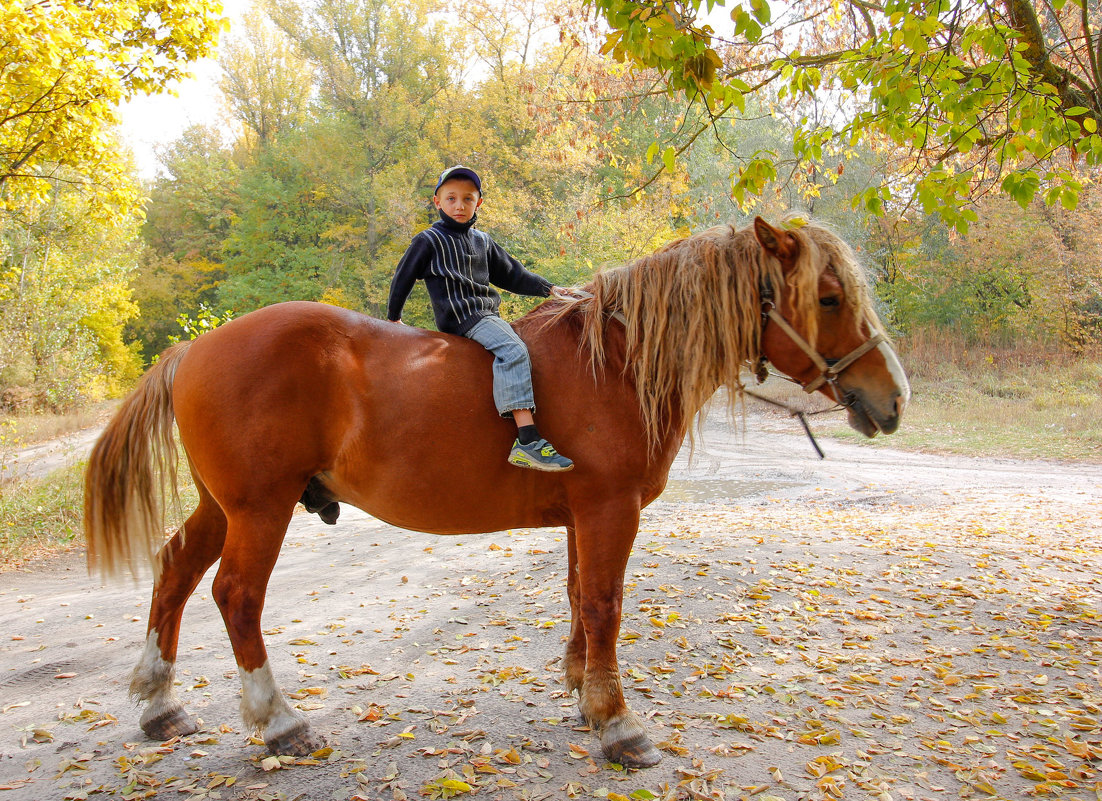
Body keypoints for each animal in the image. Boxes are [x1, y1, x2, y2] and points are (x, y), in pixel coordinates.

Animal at [83, 215, 912, 766]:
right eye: (828, 298)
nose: (894, 397)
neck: (615, 363)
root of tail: (193, 347)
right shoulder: (609, 510)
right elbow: (605, 604)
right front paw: (618, 722)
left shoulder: (583, 515)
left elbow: (579, 598)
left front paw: (584, 695)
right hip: (260, 508)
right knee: (237, 596)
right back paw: (280, 719)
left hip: (223, 505)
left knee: (175, 570)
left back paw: (160, 704)